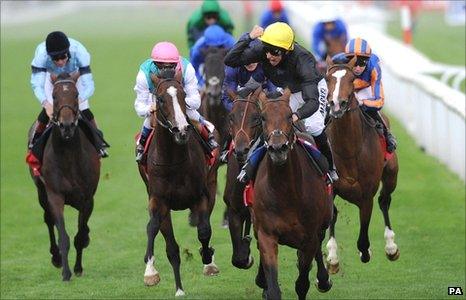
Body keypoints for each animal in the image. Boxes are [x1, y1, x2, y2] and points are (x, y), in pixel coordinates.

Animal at [27, 72, 100, 282]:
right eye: (54, 96)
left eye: (76, 95)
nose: (66, 126)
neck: (68, 157)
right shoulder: (55, 195)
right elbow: (63, 235)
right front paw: (66, 272)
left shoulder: (87, 199)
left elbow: (80, 235)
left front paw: (78, 267)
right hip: (41, 191)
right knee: (48, 219)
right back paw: (56, 257)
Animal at [139, 70, 219, 298]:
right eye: (160, 99)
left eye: (184, 96)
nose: (181, 130)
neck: (173, 161)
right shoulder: (158, 200)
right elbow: (152, 228)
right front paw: (150, 272)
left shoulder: (200, 196)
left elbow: (204, 230)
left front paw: (208, 259)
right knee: (171, 246)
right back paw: (179, 289)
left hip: (211, 184)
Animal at [253, 89, 334, 300]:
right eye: (262, 117)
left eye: (290, 116)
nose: (278, 148)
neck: (285, 193)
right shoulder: (267, 234)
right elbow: (273, 287)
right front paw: (266, 285)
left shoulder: (309, 238)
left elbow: (302, 283)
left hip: (323, 223)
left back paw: (323, 279)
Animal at [324, 55, 400, 272]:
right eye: (327, 79)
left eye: (351, 79)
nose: (336, 104)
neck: (349, 150)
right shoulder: (330, 186)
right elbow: (331, 215)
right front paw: (332, 257)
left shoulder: (366, 194)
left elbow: (363, 239)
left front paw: (366, 252)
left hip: (391, 174)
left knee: (384, 200)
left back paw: (391, 247)